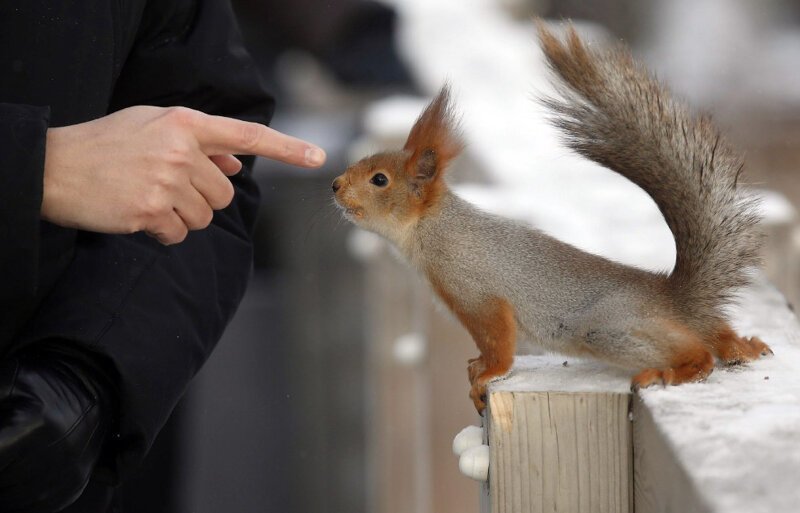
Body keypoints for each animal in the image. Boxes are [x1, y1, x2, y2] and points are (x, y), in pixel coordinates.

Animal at [332, 23, 776, 412]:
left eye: (379, 179)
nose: (335, 185)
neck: (430, 229)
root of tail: (677, 299)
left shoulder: (476, 291)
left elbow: (497, 341)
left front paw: (487, 373)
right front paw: (476, 367)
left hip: (608, 327)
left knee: (699, 351)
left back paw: (679, 370)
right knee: (718, 334)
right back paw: (745, 346)